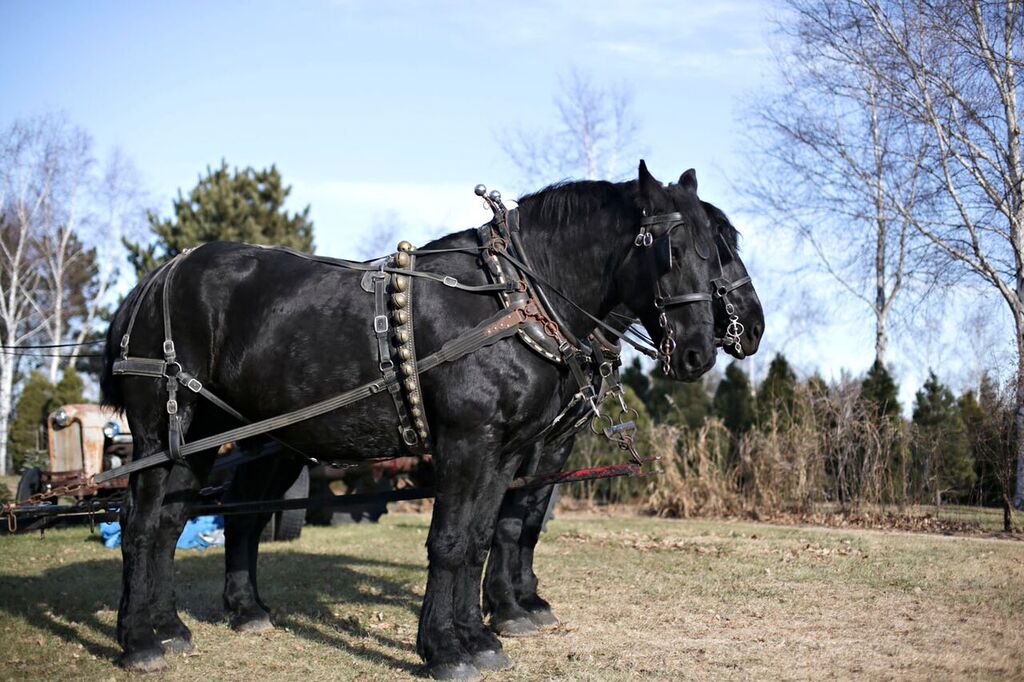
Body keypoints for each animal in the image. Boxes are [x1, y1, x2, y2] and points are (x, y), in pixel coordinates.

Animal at [99, 159, 716, 675]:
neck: (510, 297)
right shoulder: (467, 442)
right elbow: (450, 540)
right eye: (674, 248)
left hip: (209, 435)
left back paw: (172, 626)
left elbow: (480, 537)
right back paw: (139, 641)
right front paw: (444, 649)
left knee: (172, 522)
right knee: (139, 521)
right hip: (160, 430)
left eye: (718, 248)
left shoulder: (506, 451)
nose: (700, 352)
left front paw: (479, 638)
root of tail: (155, 279)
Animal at [479, 199, 761, 634]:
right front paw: (505, 606)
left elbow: (531, 518)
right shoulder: (528, 441)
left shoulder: (558, 443)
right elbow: (507, 519)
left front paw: (525, 597)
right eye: (720, 253)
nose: (754, 326)